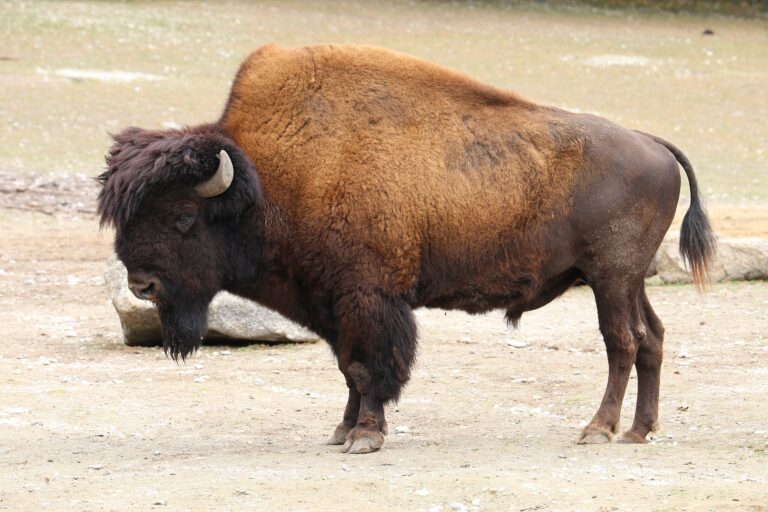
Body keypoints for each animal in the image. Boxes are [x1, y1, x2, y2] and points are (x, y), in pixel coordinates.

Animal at [97, 44, 715, 454]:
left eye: (182, 217)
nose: (141, 284)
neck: (270, 180)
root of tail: (652, 143)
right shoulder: (332, 304)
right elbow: (349, 369)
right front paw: (341, 432)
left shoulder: (367, 298)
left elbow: (370, 366)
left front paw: (365, 438)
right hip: (628, 279)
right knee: (652, 338)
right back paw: (639, 431)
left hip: (610, 277)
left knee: (622, 343)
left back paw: (598, 430)